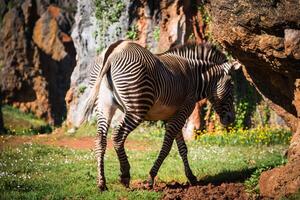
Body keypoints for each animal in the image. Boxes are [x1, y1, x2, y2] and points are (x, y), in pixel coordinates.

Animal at [76, 39, 240, 191]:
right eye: (232, 85)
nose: (231, 119)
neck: (195, 77)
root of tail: (115, 49)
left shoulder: (172, 115)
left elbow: (182, 148)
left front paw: (191, 177)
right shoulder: (183, 111)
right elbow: (167, 147)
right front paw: (151, 178)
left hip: (104, 106)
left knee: (100, 139)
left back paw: (102, 183)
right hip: (137, 107)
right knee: (117, 136)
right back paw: (125, 175)